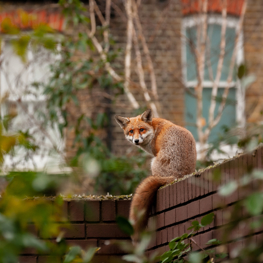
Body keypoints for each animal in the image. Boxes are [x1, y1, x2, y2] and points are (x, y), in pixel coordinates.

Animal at [114, 110, 197, 243]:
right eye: (131, 131)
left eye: (141, 129)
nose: (136, 141)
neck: (153, 129)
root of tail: (177, 176)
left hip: (152, 163)